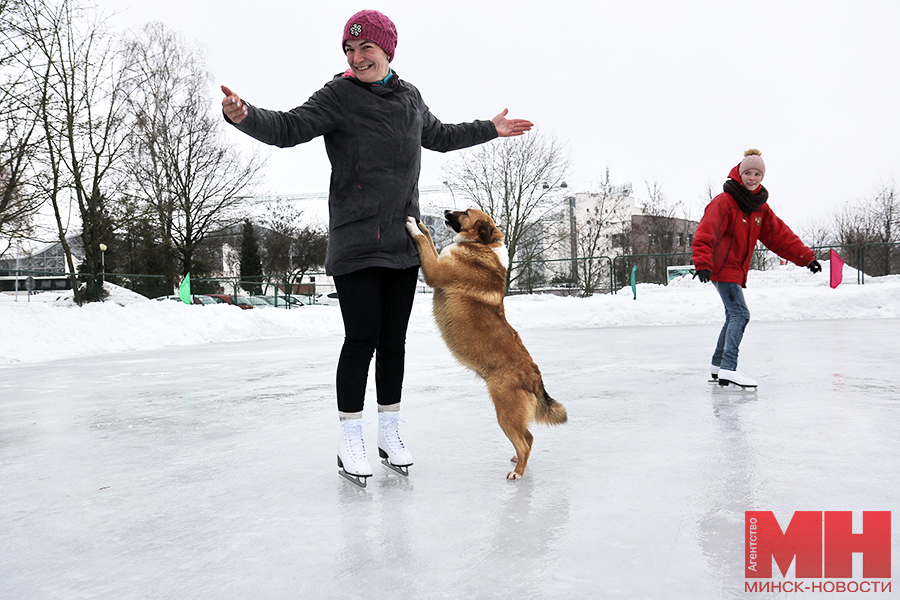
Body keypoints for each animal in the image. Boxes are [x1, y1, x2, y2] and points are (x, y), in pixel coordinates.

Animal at [406, 209, 568, 480]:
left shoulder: (435, 270)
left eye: (465, 212)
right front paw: (423, 226)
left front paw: (413, 226)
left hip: (505, 412)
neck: (483, 246)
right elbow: (429, 239)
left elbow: (423, 243)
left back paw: (517, 472)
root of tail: (535, 378)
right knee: (529, 437)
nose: (446, 212)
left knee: (525, 443)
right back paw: (516, 461)